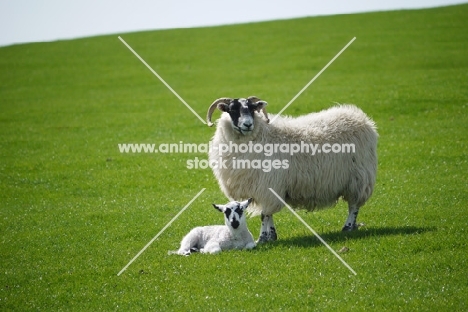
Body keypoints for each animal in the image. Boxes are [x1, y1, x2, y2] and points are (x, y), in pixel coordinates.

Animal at [207, 96, 378, 243]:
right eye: (232, 109)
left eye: (252, 108)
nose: (248, 124)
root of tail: (361, 118)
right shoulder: (265, 188)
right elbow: (268, 214)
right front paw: (272, 236)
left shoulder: (268, 185)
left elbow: (264, 215)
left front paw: (262, 239)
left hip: (359, 177)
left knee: (354, 205)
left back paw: (348, 227)